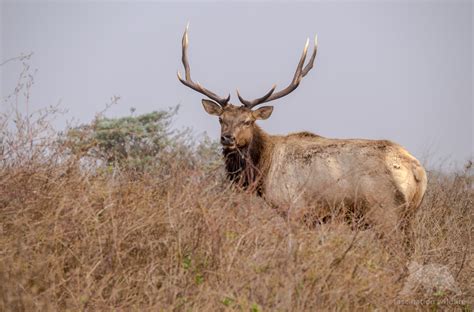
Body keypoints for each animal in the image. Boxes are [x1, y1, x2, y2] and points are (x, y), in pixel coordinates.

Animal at [179, 25, 430, 238]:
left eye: (248, 121)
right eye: (221, 119)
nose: (227, 138)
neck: (264, 168)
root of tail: (416, 170)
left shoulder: (294, 208)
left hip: (384, 213)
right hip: (410, 216)